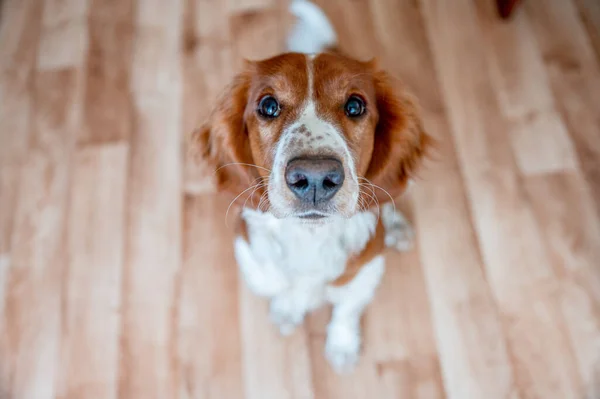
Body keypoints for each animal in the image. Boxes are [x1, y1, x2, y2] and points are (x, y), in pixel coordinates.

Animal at [192, 0, 432, 376]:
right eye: (268, 106)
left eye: (355, 105)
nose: (317, 178)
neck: (310, 238)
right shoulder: (255, 261)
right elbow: (281, 287)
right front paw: (287, 310)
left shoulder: (364, 272)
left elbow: (347, 310)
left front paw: (342, 346)